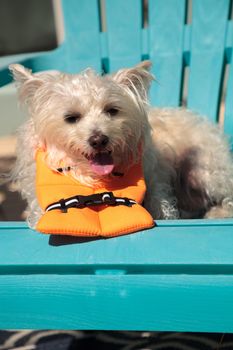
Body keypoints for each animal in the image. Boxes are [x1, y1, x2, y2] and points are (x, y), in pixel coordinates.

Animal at [8, 61, 233, 228]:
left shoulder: (156, 175)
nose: (99, 140)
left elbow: (160, 201)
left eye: (112, 110)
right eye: (71, 117)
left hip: (206, 172)